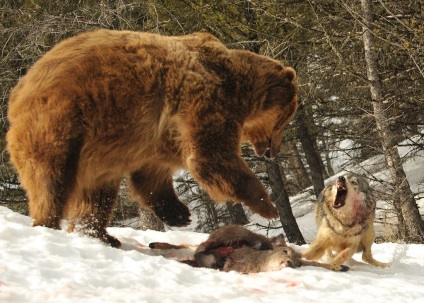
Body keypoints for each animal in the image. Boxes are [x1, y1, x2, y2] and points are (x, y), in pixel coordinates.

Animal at [6, 29, 298, 247]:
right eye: (286, 119)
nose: (273, 151)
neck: (239, 88)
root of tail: (18, 91)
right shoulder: (205, 101)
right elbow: (212, 157)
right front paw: (268, 205)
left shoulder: (156, 137)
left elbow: (152, 175)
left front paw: (179, 214)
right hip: (63, 121)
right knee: (51, 179)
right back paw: (49, 223)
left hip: (97, 149)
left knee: (97, 194)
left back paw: (101, 234)